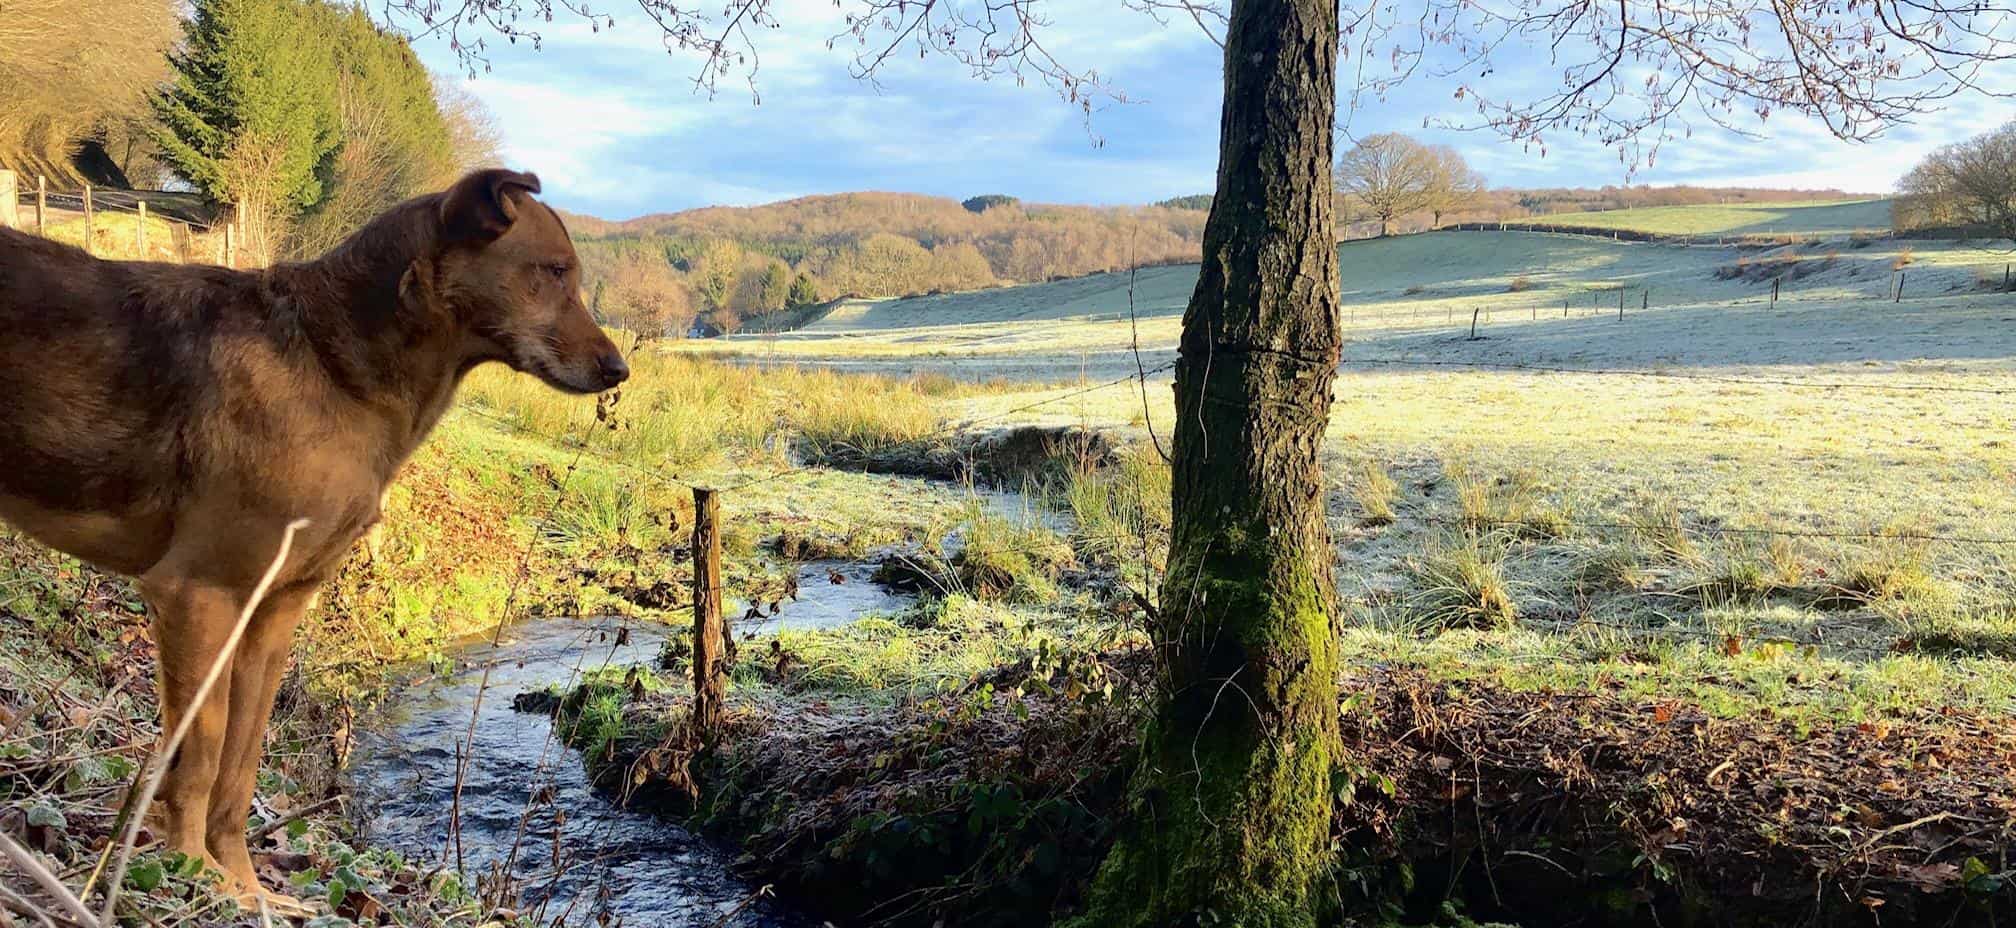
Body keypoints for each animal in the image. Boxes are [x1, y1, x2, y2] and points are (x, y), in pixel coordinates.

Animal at [0, 168, 624, 911]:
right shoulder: (199, 594)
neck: (333, 365)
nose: (618, 369)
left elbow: (240, 767)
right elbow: (200, 754)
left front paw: (244, 885)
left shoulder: (273, 615)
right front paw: (194, 877)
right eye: (553, 271)